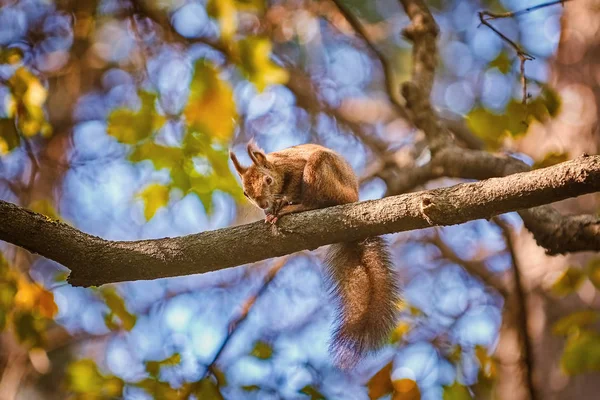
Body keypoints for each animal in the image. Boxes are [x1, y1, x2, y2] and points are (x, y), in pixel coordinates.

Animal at [230, 141, 398, 368]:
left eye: (268, 180)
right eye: (245, 193)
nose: (263, 204)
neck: (277, 167)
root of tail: (353, 197)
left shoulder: (295, 168)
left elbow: (292, 187)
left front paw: (281, 205)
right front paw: (269, 212)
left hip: (321, 171)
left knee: (316, 202)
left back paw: (294, 208)